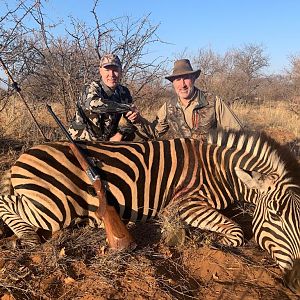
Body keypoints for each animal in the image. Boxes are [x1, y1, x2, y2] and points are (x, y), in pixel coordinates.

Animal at [0, 129, 298, 292]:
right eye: (275, 216)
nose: (296, 279)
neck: (220, 172)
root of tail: (21, 158)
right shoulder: (186, 204)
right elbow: (236, 231)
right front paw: (213, 239)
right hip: (54, 208)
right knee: (6, 201)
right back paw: (26, 237)